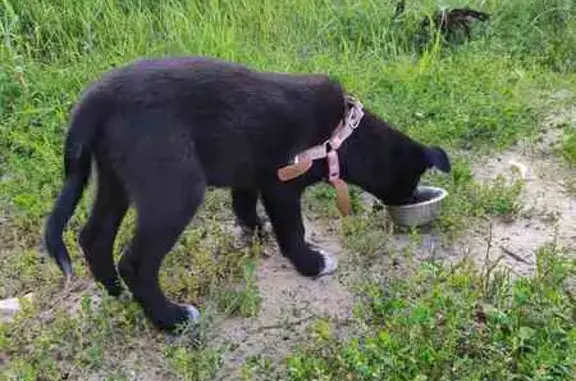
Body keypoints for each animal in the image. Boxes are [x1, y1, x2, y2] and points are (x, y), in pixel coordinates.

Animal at [44, 55, 450, 330]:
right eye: (412, 182)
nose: (412, 200)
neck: (339, 137)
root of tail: (95, 101)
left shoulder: (249, 177)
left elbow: (244, 207)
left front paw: (256, 236)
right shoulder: (282, 184)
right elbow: (293, 231)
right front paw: (311, 264)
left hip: (115, 179)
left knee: (94, 237)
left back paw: (115, 291)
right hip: (175, 188)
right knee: (136, 261)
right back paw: (171, 319)